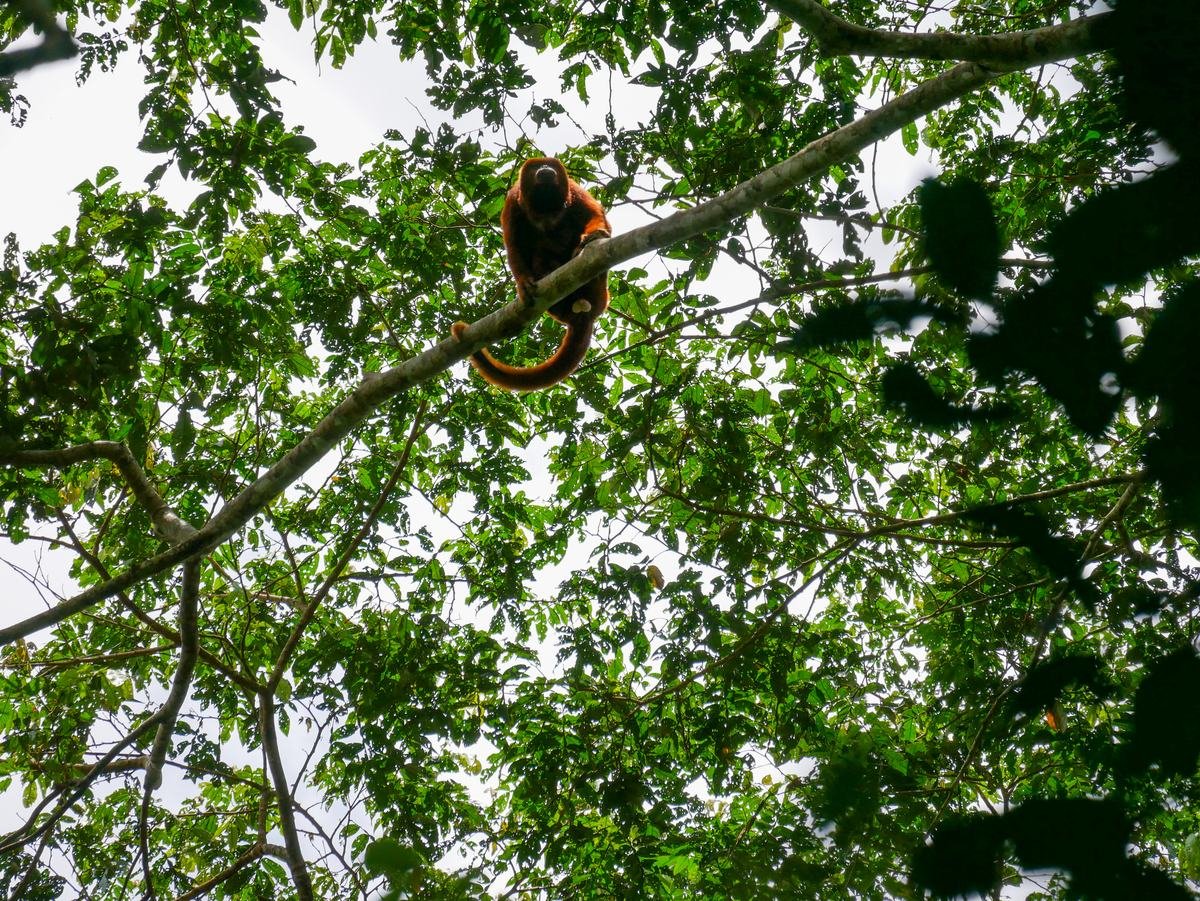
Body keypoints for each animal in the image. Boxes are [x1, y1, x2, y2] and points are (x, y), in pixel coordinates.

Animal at [451, 157, 611, 391]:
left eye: (551, 165)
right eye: (536, 166)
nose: (545, 168)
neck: (545, 209)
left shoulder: (575, 190)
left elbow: (595, 215)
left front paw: (595, 235)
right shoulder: (512, 202)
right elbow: (514, 247)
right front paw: (524, 284)